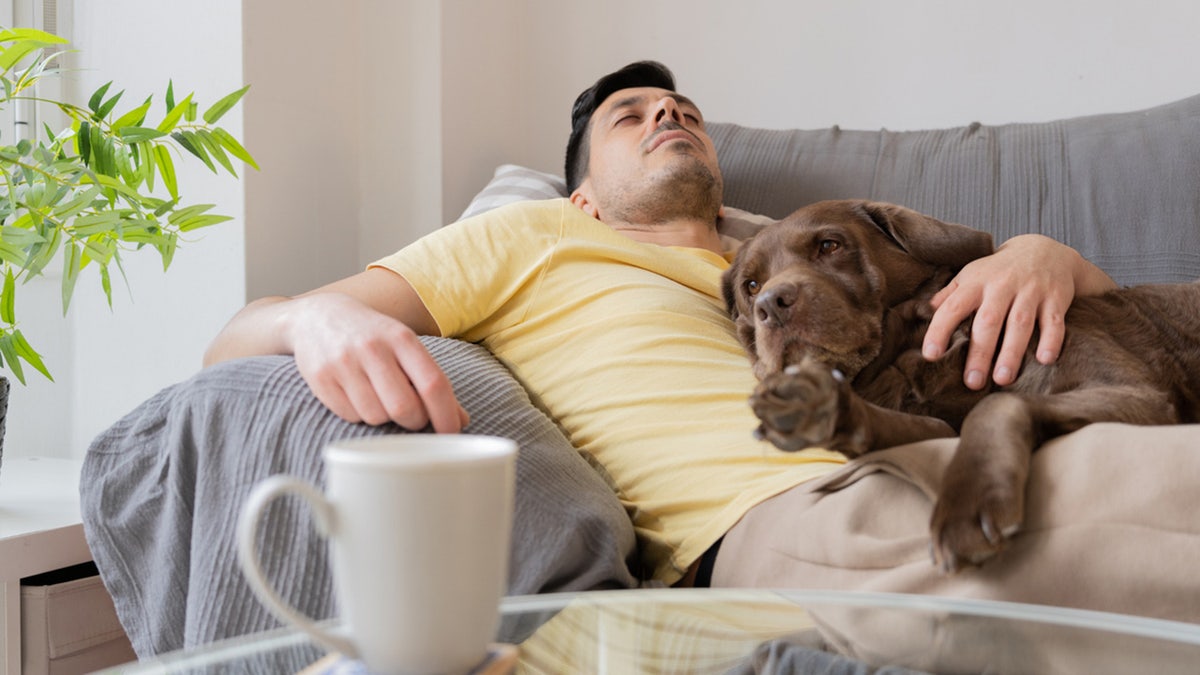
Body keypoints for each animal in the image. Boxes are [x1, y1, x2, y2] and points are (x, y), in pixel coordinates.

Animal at [720, 196, 1200, 569]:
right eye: (751, 284)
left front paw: (969, 505)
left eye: (829, 245)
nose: (771, 304)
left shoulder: (1137, 394)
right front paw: (823, 409)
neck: (908, 352)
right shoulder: (932, 424)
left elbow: (994, 405)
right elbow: (920, 427)